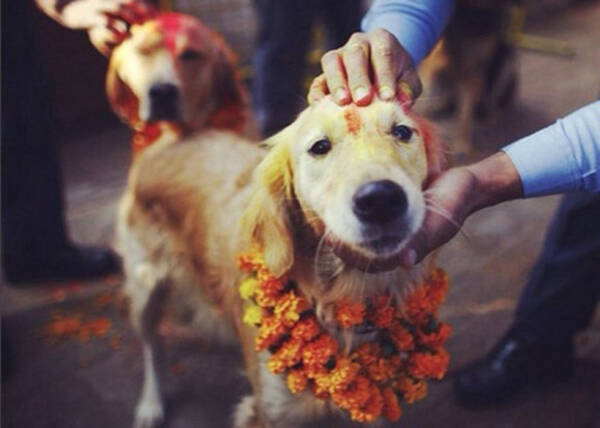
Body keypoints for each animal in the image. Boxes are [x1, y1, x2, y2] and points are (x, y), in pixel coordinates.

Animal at [117, 94, 446, 428]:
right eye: (320, 146)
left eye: (402, 132)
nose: (380, 199)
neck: (342, 295)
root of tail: (172, 138)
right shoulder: (268, 410)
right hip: (145, 287)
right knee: (152, 346)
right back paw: (150, 404)